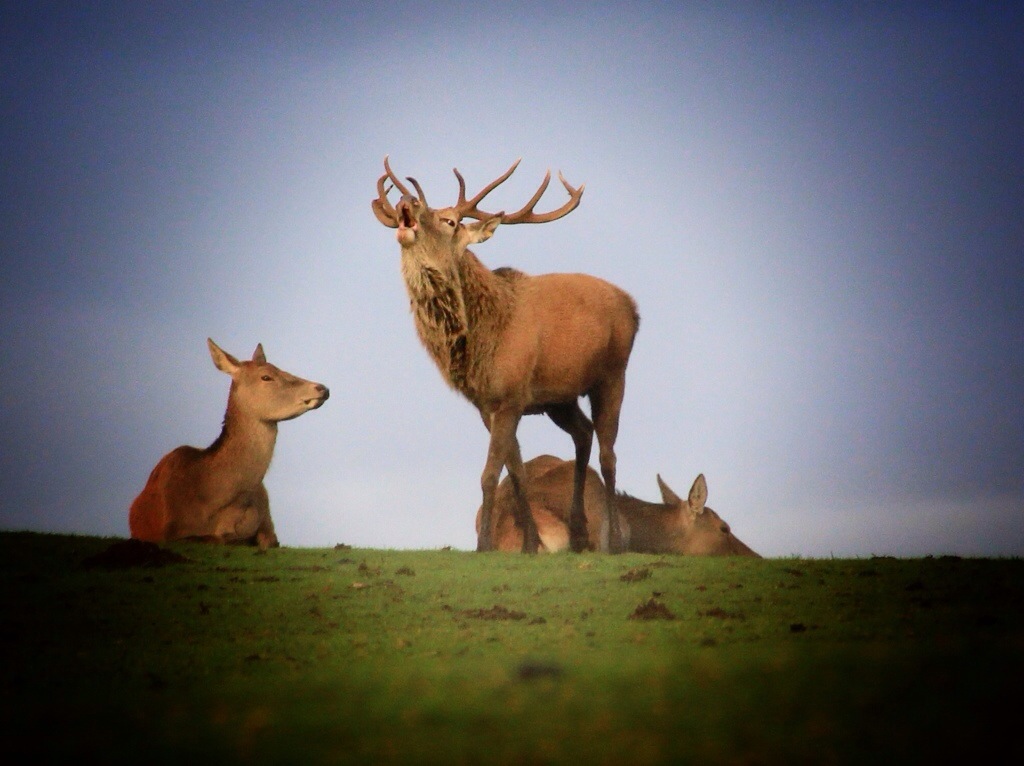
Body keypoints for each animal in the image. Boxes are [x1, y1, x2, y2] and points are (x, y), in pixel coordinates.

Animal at [373, 157, 640, 554]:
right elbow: (516, 472)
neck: (481, 342)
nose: (408, 199)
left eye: (450, 221)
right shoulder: (490, 405)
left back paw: (617, 542)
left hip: (612, 374)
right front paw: (530, 545)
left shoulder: (511, 397)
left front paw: (484, 546)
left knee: (609, 452)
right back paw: (578, 533)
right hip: (559, 397)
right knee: (583, 433)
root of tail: (634, 307)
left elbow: (489, 473)